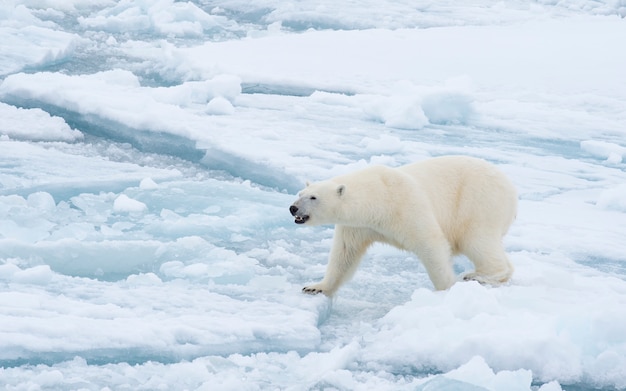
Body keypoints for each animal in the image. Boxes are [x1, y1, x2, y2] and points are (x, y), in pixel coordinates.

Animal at [290, 156, 516, 298]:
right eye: (300, 193)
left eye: (313, 197)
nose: (293, 208)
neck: (379, 198)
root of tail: (511, 189)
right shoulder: (358, 226)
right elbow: (344, 254)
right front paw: (315, 287)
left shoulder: (406, 206)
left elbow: (431, 244)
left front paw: (445, 289)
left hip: (479, 203)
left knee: (476, 240)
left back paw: (477, 275)